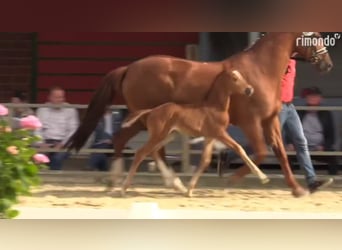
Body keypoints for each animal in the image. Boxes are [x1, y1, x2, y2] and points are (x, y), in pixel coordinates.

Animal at [120, 69, 270, 197]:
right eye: (235, 78)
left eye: (241, 76)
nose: (249, 89)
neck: (215, 107)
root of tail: (151, 111)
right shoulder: (220, 133)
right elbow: (239, 148)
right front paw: (263, 177)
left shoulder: (210, 136)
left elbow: (205, 160)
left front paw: (189, 190)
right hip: (159, 135)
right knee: (141, 152)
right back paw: (124, 188)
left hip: (169, 135)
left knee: (154, 152)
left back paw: (177, 186)